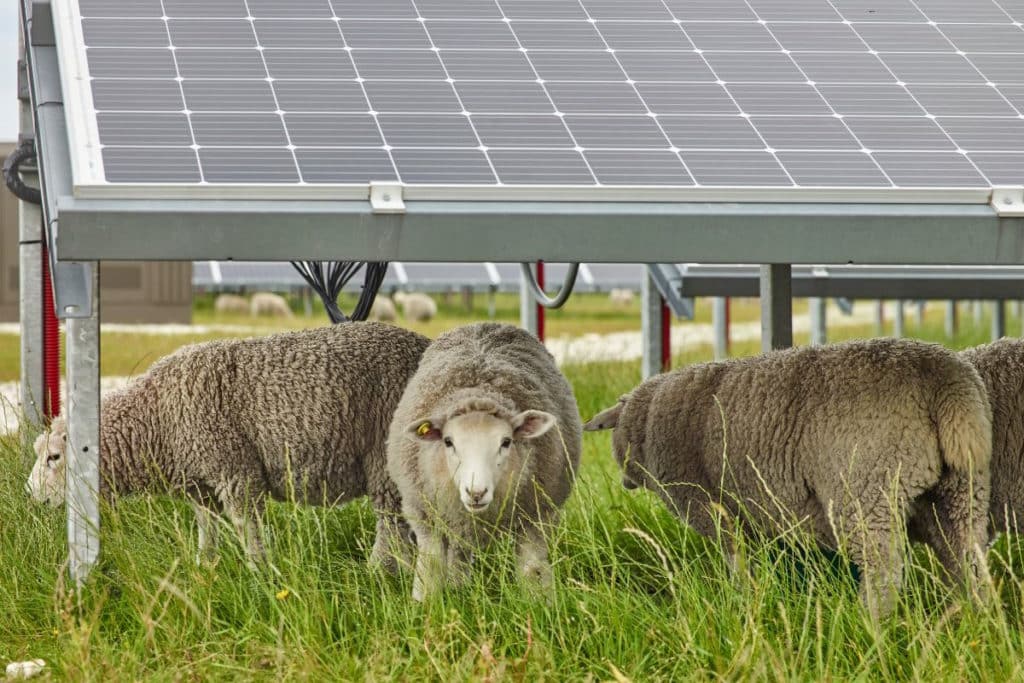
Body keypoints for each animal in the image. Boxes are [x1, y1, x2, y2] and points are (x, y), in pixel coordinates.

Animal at [26, 322, 430, 572]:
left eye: (54, 457)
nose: (31, 496)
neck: (157, 418)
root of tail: (425, 344)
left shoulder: (236, 471)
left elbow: (247, 529)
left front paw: (259, 574)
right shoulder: (201, 486)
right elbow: (207, 529)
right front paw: (205, 567)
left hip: (386, 457)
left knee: (392, 525)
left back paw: (378, 573)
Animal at [386, 322, 582, 601]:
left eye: (506, 442)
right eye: (448, 442)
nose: (476, 492)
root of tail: (483, 325)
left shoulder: (536, 517)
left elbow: (532, 570)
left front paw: (540, 605)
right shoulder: (425, 515)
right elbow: (430, 568)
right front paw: (424, 605)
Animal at [585, 338, 992, 619]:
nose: (624, 483)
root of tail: (945, 382)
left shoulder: (712, 508)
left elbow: (735, 557)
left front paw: (743, 598)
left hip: (867, 489)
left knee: (884, 572)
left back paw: (871, 623)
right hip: (962, 490)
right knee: (969, 559)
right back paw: (977, 619)